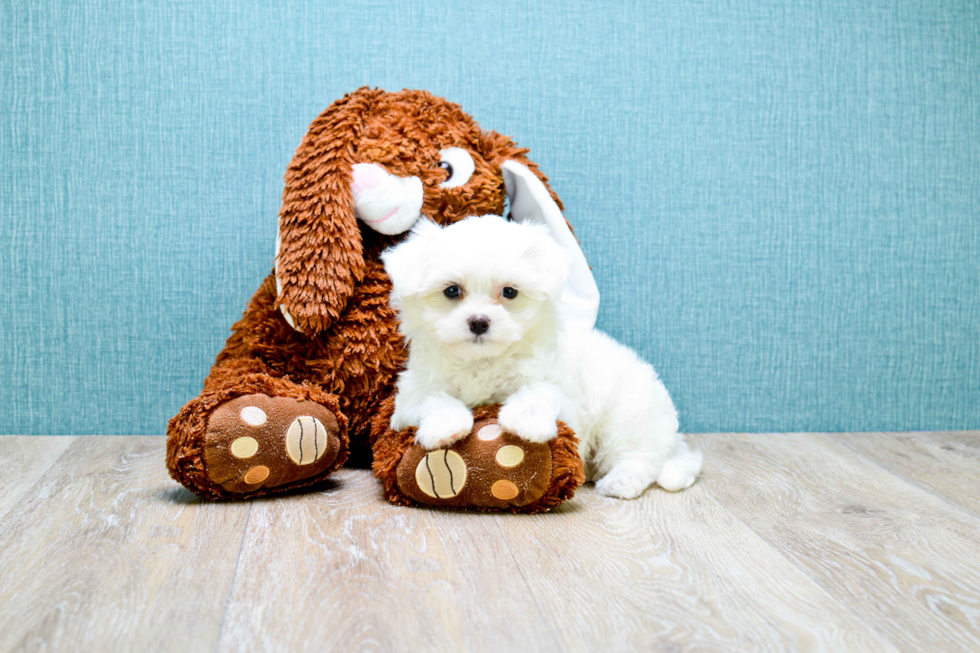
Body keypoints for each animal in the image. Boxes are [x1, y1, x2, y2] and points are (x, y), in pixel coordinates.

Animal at [378, 216, 700, 496]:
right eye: (452, 291)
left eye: (509, 292)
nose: (479, 322)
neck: (484, 361)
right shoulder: (411, 391)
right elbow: (433, 398)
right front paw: (446, 426)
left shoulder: (561, 389)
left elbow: (539, 390)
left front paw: (526, 421)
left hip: (627, 417)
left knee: (639, 456)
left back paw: (621, 481)